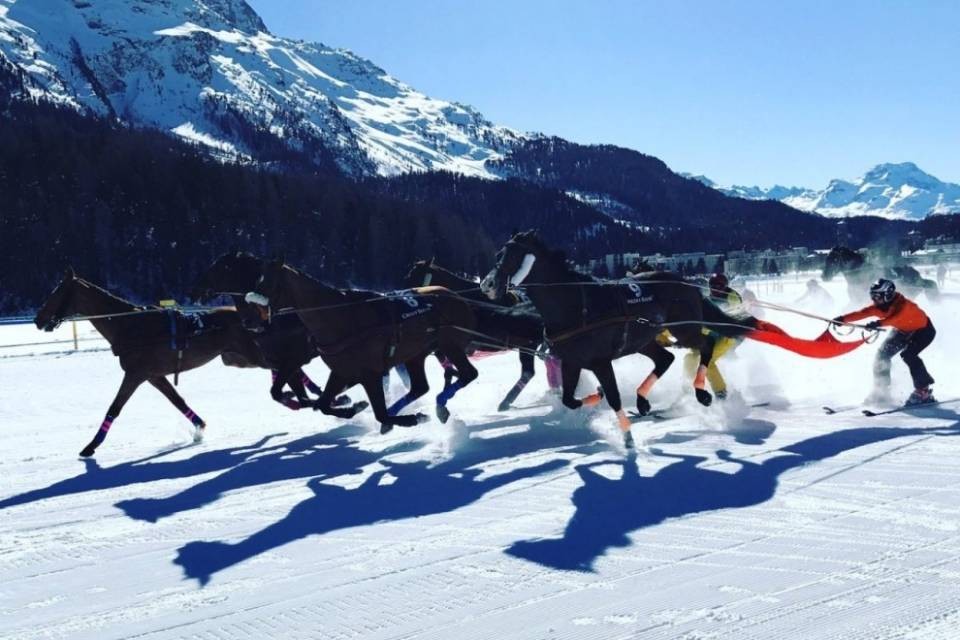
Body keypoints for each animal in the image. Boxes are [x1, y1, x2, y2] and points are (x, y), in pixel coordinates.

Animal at [34, 269, 254, 457]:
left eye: (56, 293)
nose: (37, 320)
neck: (129, 325)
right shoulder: (154, 376)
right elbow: (177, 401)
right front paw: (199, 429)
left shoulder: (135, 374)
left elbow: (114, 408)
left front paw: (91, 446)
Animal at [243, 260, 480, 432]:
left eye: (268, 284)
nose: (249, 321)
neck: (341, 316)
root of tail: (455, 296)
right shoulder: (341, 371)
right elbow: (323, 404)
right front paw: (353, 407)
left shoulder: (369, 373)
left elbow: (379, 413)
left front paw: (411, 418)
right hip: (417, 353)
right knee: (420, 386)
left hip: (450, 344)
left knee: (469, 374)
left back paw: (439, 403)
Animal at [480, 231, 754, 446]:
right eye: (498, 255)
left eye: (513, 256)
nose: (487, 284)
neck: (576, 305)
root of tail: (687, 284)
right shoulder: (571, 361)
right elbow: (569, 399)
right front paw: (596, 397)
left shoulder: (601, 362)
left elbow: (613, 397)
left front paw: (628, 439)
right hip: (644, 340)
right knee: (665, 359)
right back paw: (643, 401)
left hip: (685, 329)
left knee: (705, 346)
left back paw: (701, 393)